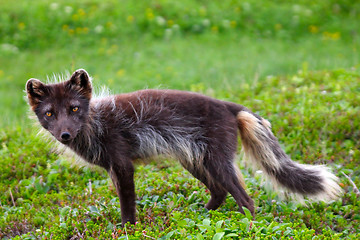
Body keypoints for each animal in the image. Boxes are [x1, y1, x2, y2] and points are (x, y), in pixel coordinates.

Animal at [26, 69, 342, 225]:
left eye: (74, 108)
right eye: (50, 114)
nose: (65, 135)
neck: (96, 124)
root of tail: (230, 106)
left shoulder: (123, 165)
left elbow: (127, 205)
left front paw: (128, 229)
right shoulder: (113, 169)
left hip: (216, 162)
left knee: (245, 199)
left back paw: (249, 227)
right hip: (194, 160)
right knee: (220, 192)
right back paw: (201, 215)